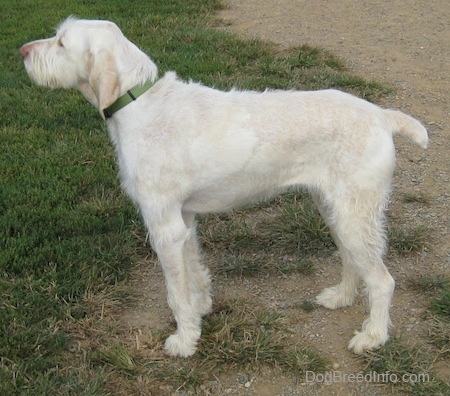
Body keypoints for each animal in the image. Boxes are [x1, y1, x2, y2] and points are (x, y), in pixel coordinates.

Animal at [21, 17, 428, 358]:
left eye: (61, 42)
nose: (22, 51)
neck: (140, 103)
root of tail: (381, 115)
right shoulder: (183, 218)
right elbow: (194, 268)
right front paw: (201, 308)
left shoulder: (162, 226)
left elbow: (175, 292)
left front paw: (184, 341)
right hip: (335, 210)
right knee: (350, 258)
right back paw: (341, 297)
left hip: (356, 214)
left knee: (382, 280)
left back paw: (373, 336)